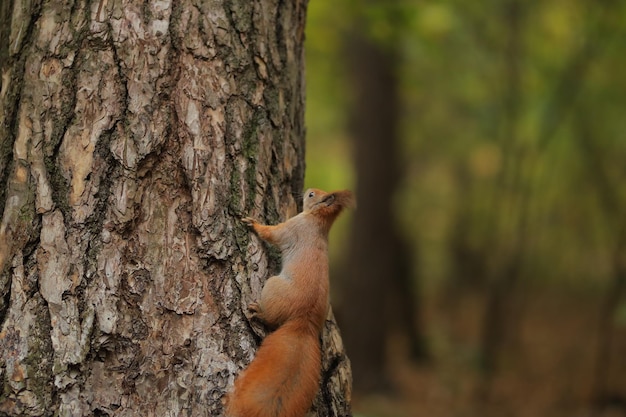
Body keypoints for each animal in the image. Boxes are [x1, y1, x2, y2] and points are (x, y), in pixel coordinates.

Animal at [224, 188, 354, 416]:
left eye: (312, 195)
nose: (306, 190)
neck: (318, 221)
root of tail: (303, 320)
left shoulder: (292, 227)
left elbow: (271, 234)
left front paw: (253, 224)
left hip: (272, 286)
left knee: (269, 317)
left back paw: (258, 312)